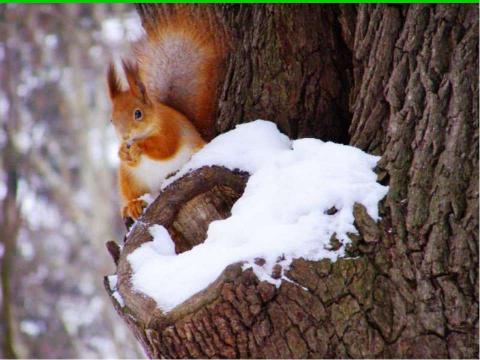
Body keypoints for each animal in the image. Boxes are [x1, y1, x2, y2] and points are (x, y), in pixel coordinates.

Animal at [107, 9, 225, 219]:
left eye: (138, 114)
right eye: (112, 119)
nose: (125, 136)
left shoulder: (171, 128)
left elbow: (164, 148)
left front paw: (138, 147)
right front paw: (121, 152)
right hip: (129, 178)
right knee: (132, 193)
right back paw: (133, 205)